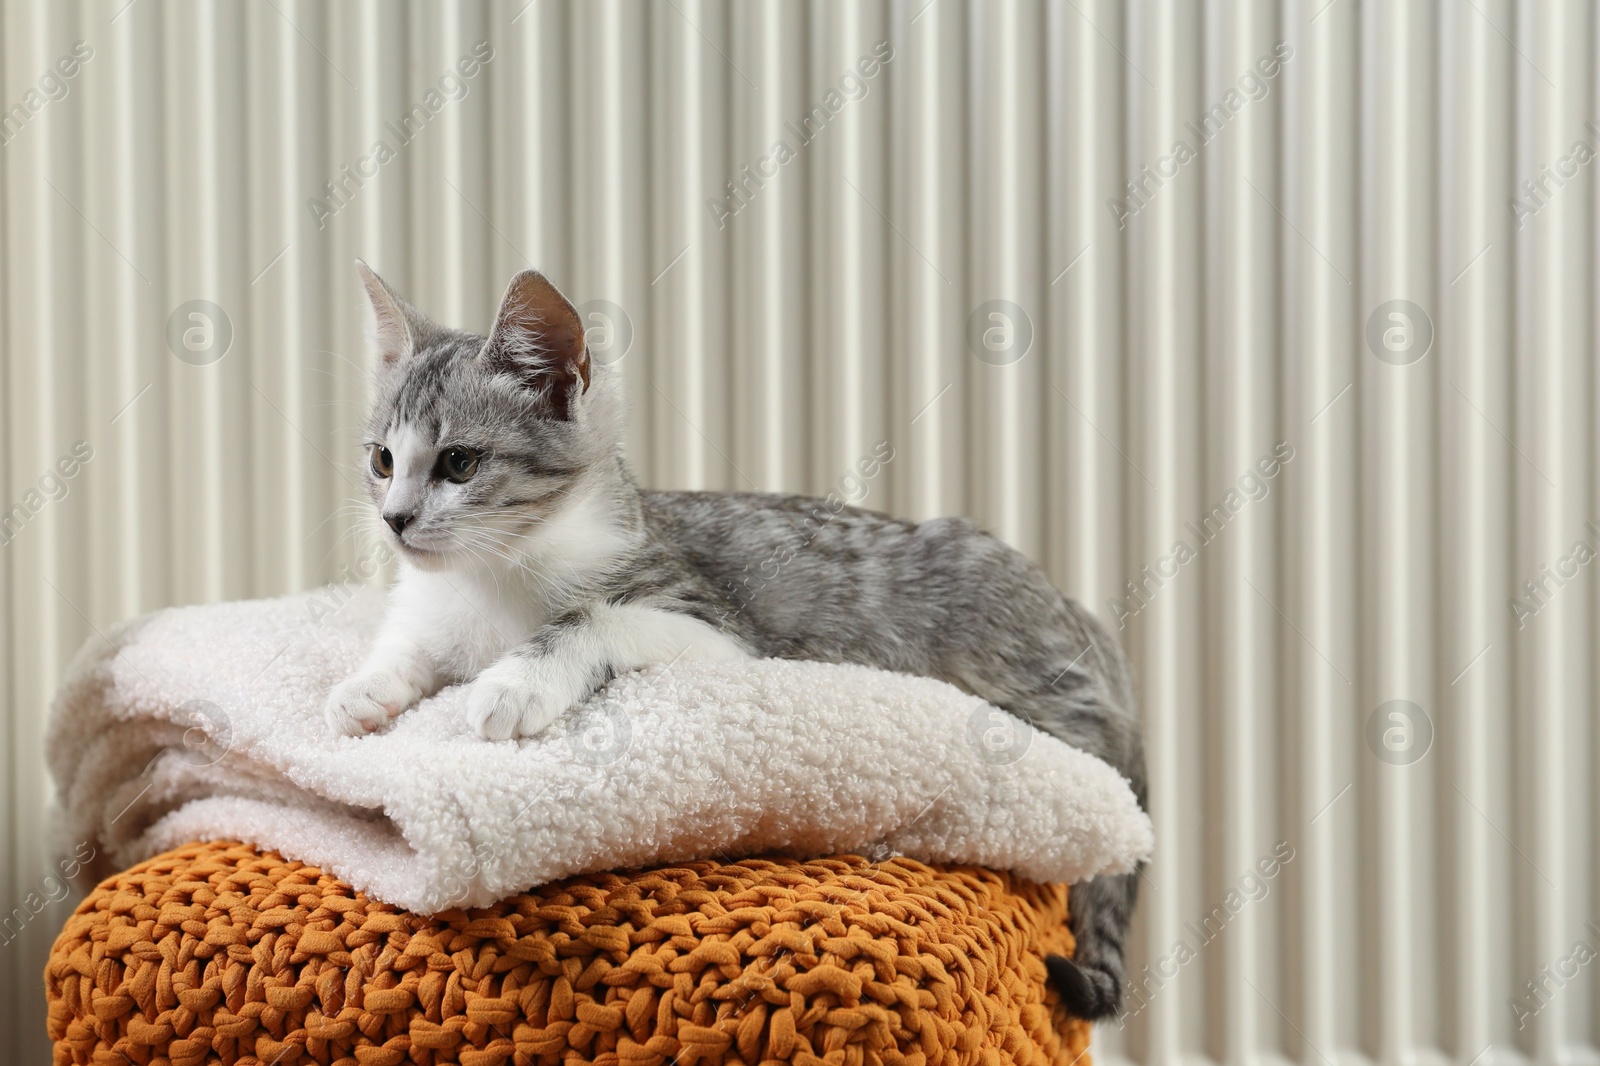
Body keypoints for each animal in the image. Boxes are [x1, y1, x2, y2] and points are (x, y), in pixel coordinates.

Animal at [328, 260, 1152, 1017]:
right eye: (382, 459)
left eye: (460, 463)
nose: (394, 520)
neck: (490, 577)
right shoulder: (430, 608)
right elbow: (407, 645)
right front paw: (362, 689)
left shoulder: (710, 623)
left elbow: (593, 617)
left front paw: (512, 682)